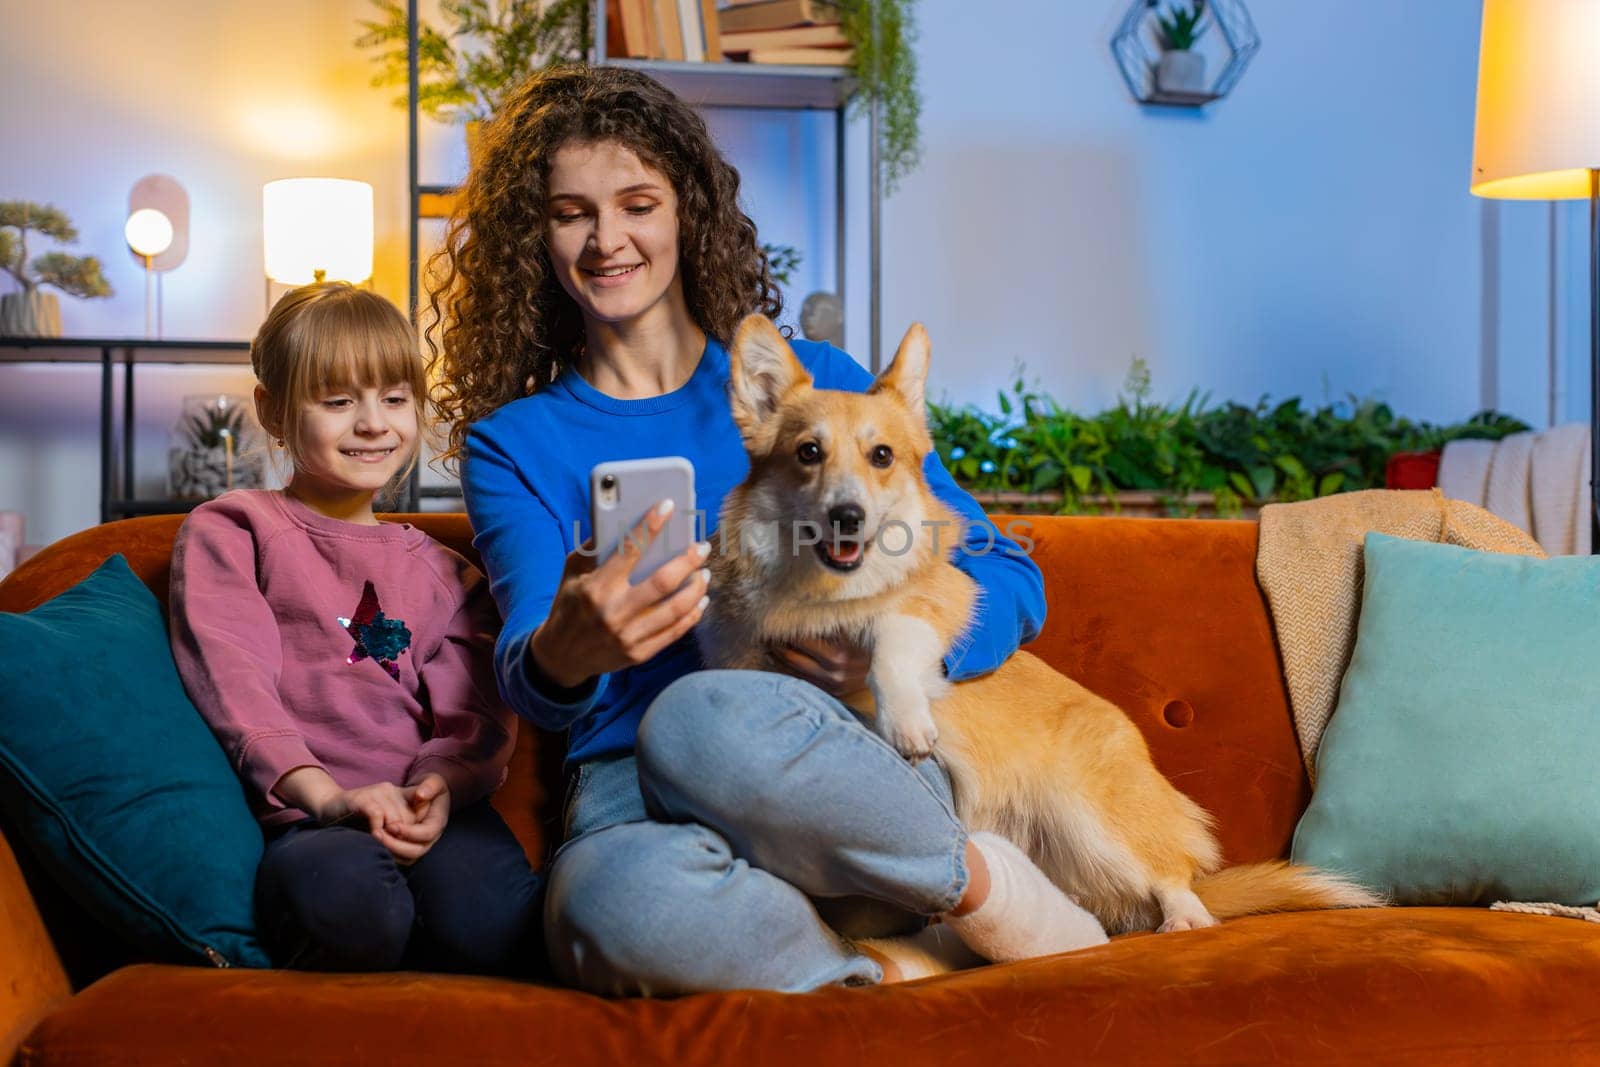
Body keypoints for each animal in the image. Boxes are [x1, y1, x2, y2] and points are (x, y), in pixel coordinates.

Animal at [694, 313, 1382, 940]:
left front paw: (905, 718)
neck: (821, 592)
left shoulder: (945, 601)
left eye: (881, 456)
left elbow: (893, 633)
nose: (847, 516)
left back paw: (1184, 917)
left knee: (1172, 875)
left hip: (1091, 818)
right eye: (808, 452)